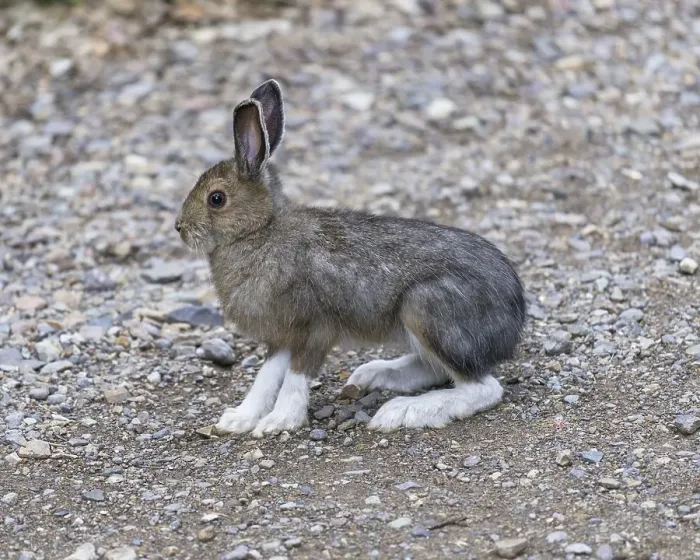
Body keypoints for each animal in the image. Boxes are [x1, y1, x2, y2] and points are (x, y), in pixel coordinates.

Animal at [175, 79, 526, 437]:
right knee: (439, 370)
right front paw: (239, 419)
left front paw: (280, 421)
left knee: (482, 387)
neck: (261, 231)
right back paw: (374, 375)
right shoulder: (282, 335)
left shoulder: (316, 327)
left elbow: (295, 378)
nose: (180, 228)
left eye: (216, 199)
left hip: (426, 309)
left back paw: (404, 410)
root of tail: (514, 318)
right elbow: (266, 377)